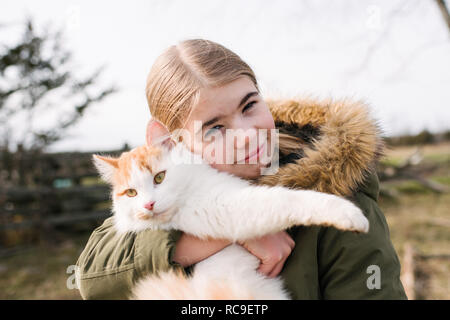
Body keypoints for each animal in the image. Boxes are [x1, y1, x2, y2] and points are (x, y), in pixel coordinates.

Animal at [92, 120, 370, 300]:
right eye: (131, 193)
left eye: (159, 178)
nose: (148, 204)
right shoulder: (230, 208)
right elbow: (288, 200)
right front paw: (350, 214)